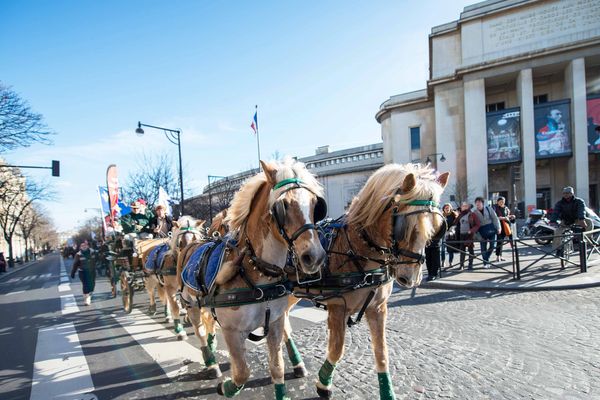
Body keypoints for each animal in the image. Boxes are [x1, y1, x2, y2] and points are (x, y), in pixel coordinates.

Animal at [177, 159, 328, 400]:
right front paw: (227, 387)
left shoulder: (275, 323)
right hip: (191, 305)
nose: (314, 256)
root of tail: (190, 244)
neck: (257, 272)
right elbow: (242, 373)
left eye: (316, 205)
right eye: (283, 206)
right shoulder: (232, 330)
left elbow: (277, 368)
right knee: (200, 331)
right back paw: (211, 363)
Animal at [284, 163, 446, 400]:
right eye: (405, 225)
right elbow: (337, 349)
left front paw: (387, 392)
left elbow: (381, 352)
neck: (356, 249)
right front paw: (324, 383)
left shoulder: (377, 308)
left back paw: (296, 364)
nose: (410, 277)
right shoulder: (337, 307)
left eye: (437, 225)